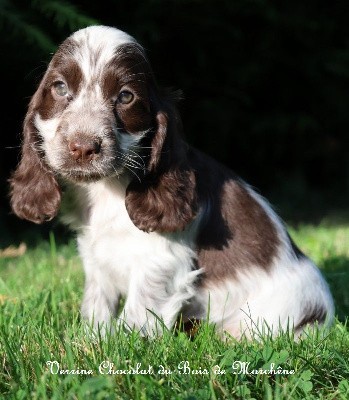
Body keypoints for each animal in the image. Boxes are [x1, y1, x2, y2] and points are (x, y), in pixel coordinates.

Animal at [9, 25, 334, 338]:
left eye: (126, 96)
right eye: (60, 87)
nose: (83, 147)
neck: (107, 190)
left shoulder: (160, 260)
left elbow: (136, 315)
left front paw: (116, 348)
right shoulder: (95, 257)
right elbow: (96, 306)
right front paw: (90, 342)